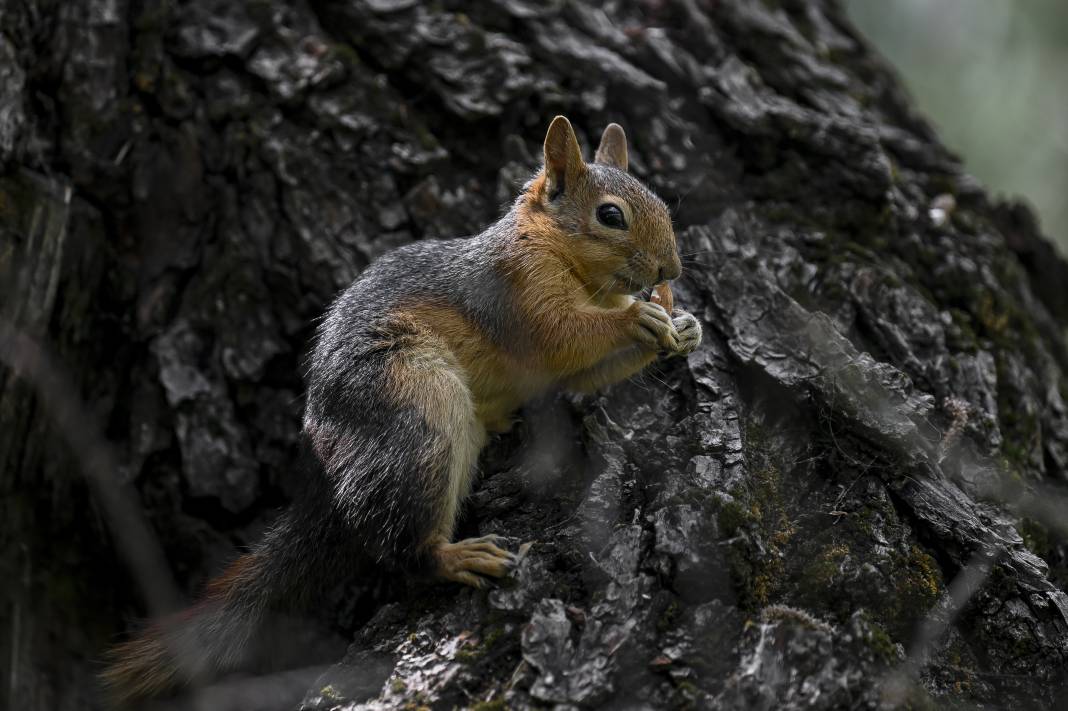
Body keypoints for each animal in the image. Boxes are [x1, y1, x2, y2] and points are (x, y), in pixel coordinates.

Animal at [100, 116, 700, 696]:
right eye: (610, 215)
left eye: (662, 203)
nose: (670, 270)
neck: (566, 259)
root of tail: (328, 479)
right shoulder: (516, 295)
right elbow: (563, 335)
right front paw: (637, 318)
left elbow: (582, 373)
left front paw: (684, 326)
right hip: (416, 408)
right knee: (401, 544)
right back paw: (452, 555)